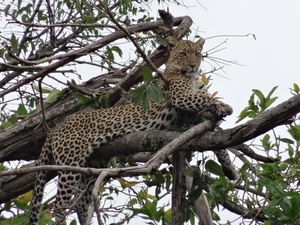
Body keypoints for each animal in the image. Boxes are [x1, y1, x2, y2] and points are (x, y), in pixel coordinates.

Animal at [29, 37, 238, 225]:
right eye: (183, 54)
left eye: (197, 53)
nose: (194, 66)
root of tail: (55, 128)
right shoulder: (183, 97)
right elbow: (208, 100)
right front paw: (225, 105)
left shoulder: (197, 113)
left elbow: (218, 135)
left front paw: (229, 168)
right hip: (69, 163)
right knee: (59, 204)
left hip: (91, 165)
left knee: (81, 201)